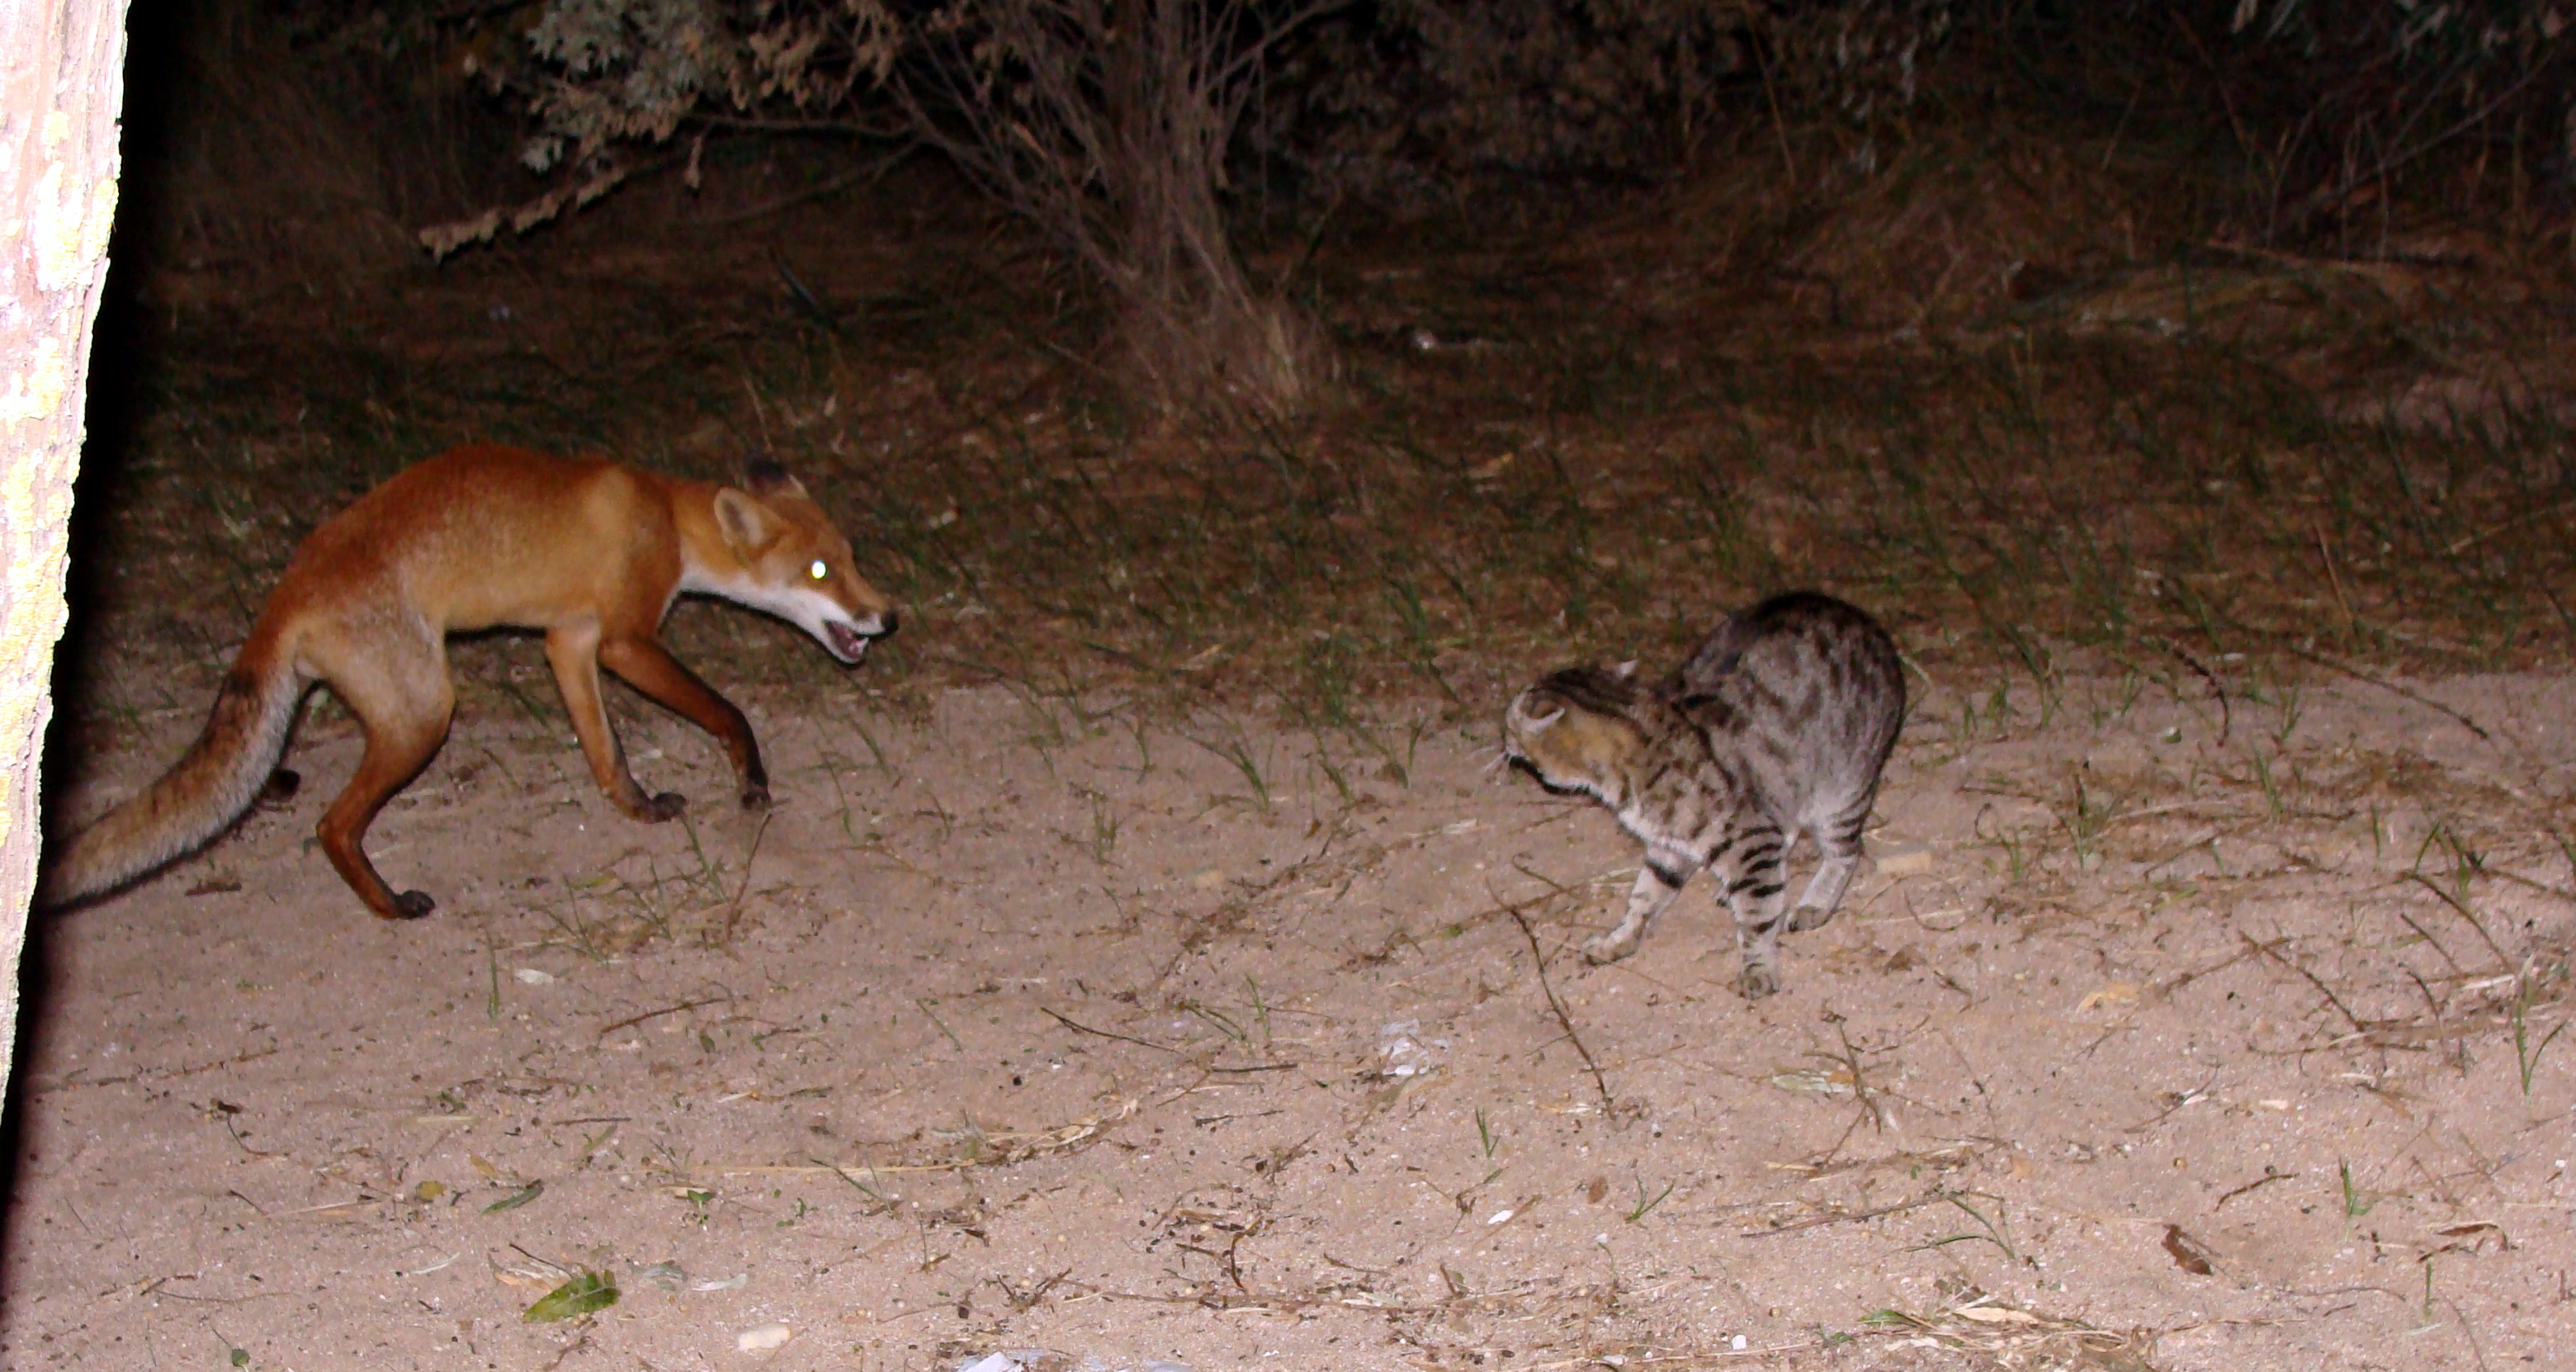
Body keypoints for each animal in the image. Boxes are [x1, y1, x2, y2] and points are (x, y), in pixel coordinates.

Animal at [41, 443, 897, 921]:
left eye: (853, 559)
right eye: (820, 573)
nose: (888, 617)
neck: (665, 516)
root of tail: (290, 585)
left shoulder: (568, 641)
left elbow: (605, 754)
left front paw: (638, 807)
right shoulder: (626, 641)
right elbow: (727, 712)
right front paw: (750, 781)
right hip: (426, 713)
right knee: (332, 826)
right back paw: (390, 907)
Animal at [1501, 592, 1905, 998]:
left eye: (1509, 722)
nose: (1502, 738)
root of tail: (1872, 626)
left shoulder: (1749, 835)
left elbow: (1758, 918)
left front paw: (1758, 968)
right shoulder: (1670, 847)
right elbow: (1644, 898)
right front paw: (1620, 939)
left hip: (1842, 793)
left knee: (1846, 853)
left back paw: (1814, 905)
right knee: (1789, 833)